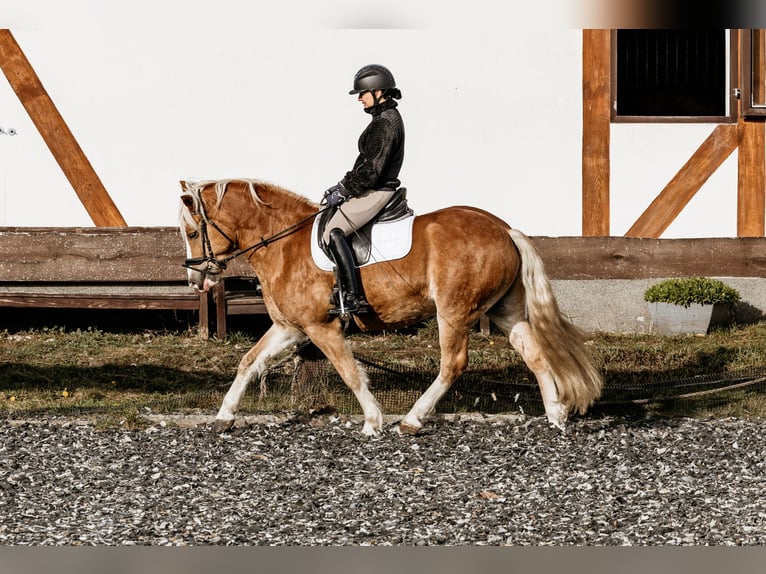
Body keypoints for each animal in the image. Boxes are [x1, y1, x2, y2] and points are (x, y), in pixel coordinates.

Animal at [180, 179, 608, 436]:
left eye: (192, 231)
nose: (195, 279)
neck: (282, 243)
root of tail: (504, 228)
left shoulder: (321, 327)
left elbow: (350, 373)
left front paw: (372, 421)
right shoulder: (291, 327)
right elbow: (248, 362)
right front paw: (224, 416)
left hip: (453, 311)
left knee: (452, 364)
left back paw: (413, 420)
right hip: (506, 310)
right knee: (533, 353)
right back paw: (555, 415)